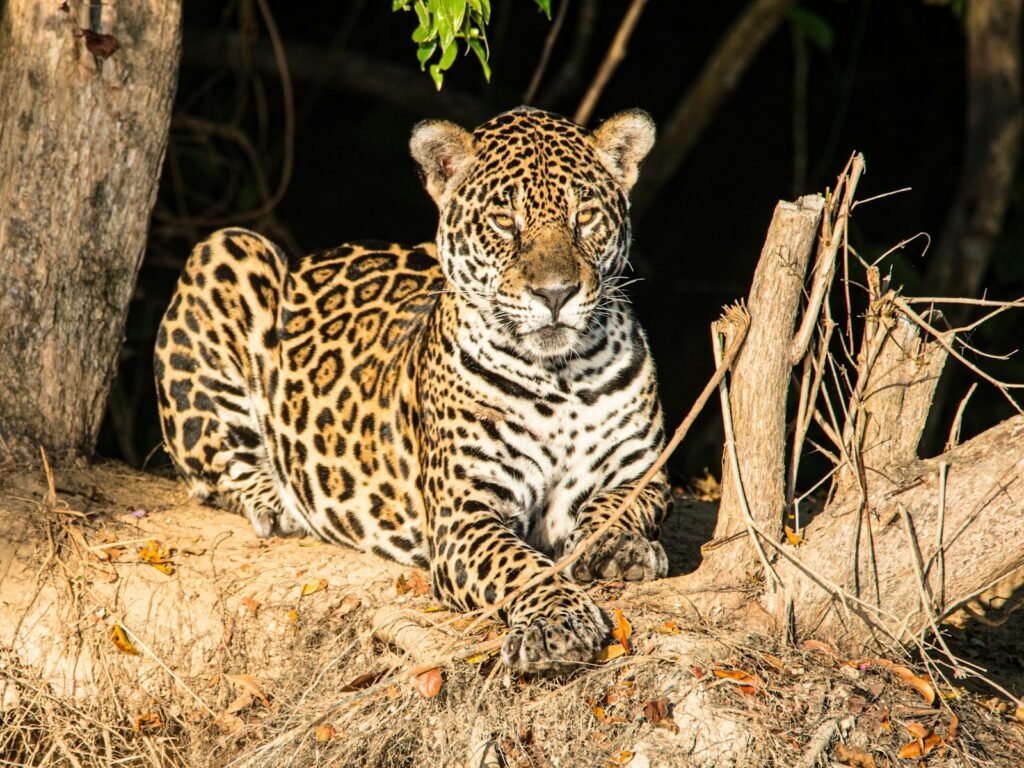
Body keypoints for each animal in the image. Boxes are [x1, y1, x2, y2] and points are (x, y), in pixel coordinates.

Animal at [154, 106, 671, 672]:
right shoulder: (464, 515)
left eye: (586, 217)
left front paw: (617, 546)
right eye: (504, 222)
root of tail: (317, 254)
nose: (555, 294)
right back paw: (278, 503)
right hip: (227, 249)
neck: (561, 376)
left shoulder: (645, 472)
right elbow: (521, 566)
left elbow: (623, 503)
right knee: (213, 466)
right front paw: (557, 621)